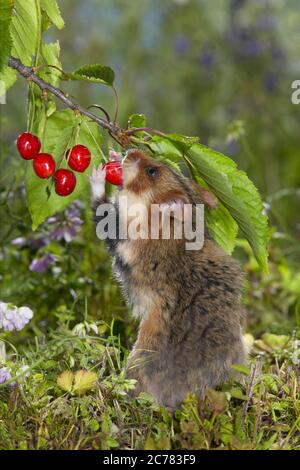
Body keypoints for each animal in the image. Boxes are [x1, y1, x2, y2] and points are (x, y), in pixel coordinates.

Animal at [90, 148, 247, 412]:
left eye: (152, 171)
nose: (130, 150)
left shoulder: (124, 238)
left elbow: (103, 208)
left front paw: (97, 175)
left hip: (138, 359)